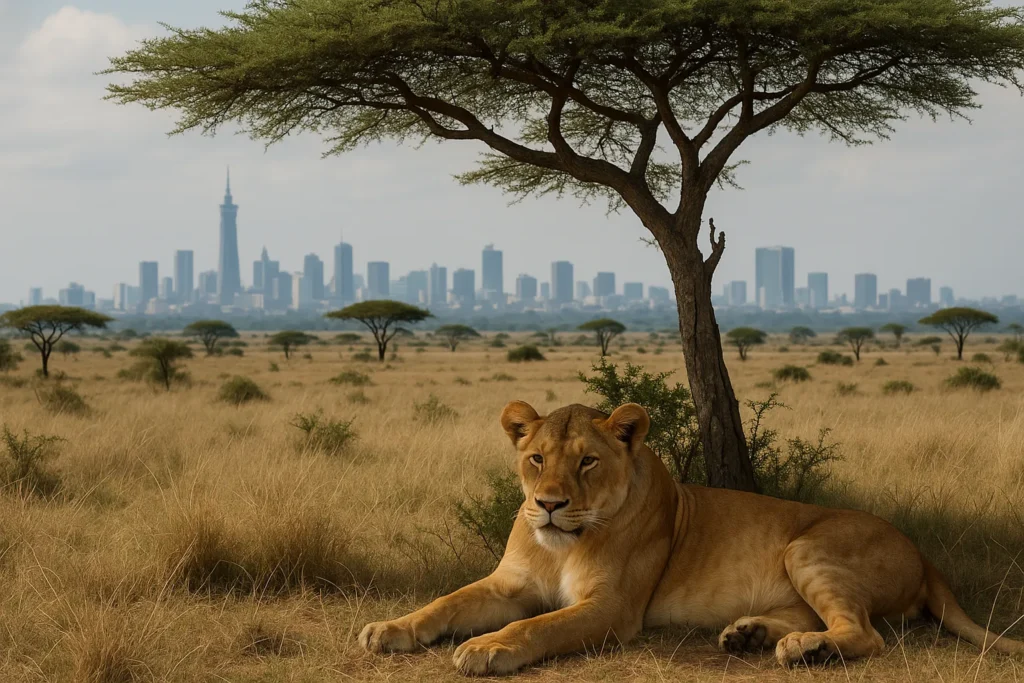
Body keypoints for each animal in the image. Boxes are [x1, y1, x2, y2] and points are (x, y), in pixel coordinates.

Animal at [360, 401, 1023, 675]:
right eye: (537, 458)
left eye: (588, 462)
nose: (547, 505)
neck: (562, 545)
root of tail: (923, 554)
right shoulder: (508, 584)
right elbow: (445, 602)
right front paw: (388, 629)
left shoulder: (612, 608)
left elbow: (538, 626)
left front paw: (488, 646)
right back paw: (748, 636)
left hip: (806, 546)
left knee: (867, 634)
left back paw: (804, 651)